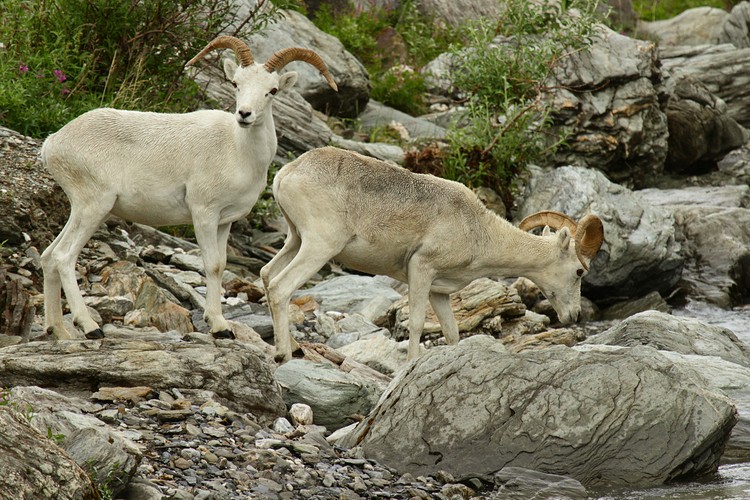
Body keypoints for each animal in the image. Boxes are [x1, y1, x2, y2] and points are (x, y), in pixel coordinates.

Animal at [40, 35, 337, 341]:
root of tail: (52, 142)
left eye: (272, 90)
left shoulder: (224, 222)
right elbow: (212, 265)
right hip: (94, 207)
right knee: (63, 257)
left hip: (80, 210)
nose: (244, 114)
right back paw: (90, 327)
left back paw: (59, 331)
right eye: (236, 84)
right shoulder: (203, 214)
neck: (237, 150)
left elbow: (221, 265)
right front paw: (220, 327)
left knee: (49, 257)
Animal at [261, 147, 604, 362]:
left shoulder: (440, 292)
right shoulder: (421, 270)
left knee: (266, 275)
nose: (573, 316)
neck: (479, 232)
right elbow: (415, 324)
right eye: (579, 271)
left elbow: (451, 333)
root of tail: (287, 173)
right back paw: (283, 355)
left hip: (295, 240)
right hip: (319, 246)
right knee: (280, 287)